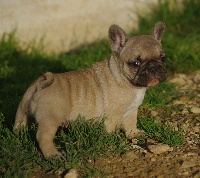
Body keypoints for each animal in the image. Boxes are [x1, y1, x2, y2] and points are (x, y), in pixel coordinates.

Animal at [13, 21, 167, 156]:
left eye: (163, 58)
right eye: (135, 63)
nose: (154, 67)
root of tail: (42, 82)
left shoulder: (131, 110)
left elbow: (130, 124)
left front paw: (134, 133)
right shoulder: (113, 115)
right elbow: (111, 129)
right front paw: (113, 140)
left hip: (22, 113)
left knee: (19, 125)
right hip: (51, 118)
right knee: (43, 136)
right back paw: (52, 154)